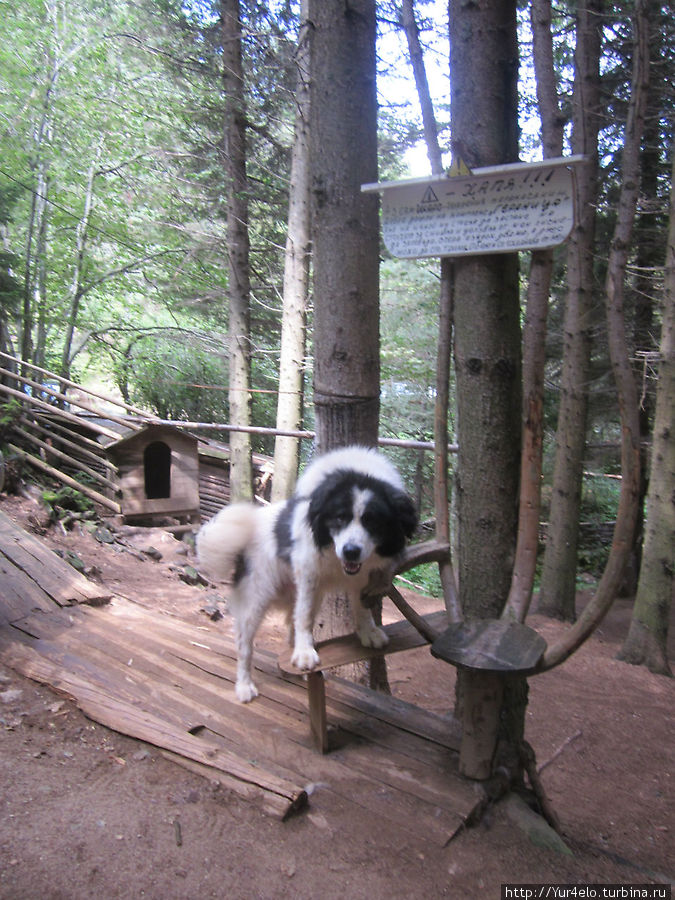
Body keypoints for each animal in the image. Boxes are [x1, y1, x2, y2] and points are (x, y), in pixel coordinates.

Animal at [195, 444, 418, 704]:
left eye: (373, 522)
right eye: (340, 518)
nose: (351, 552)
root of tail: (250, 525)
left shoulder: (362, 574)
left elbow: (361, 607)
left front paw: (368, 631)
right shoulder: (308, 571)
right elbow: (304, 617)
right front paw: (304, 653)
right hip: (257, 596)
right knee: (245, 644)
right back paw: (244, 686)